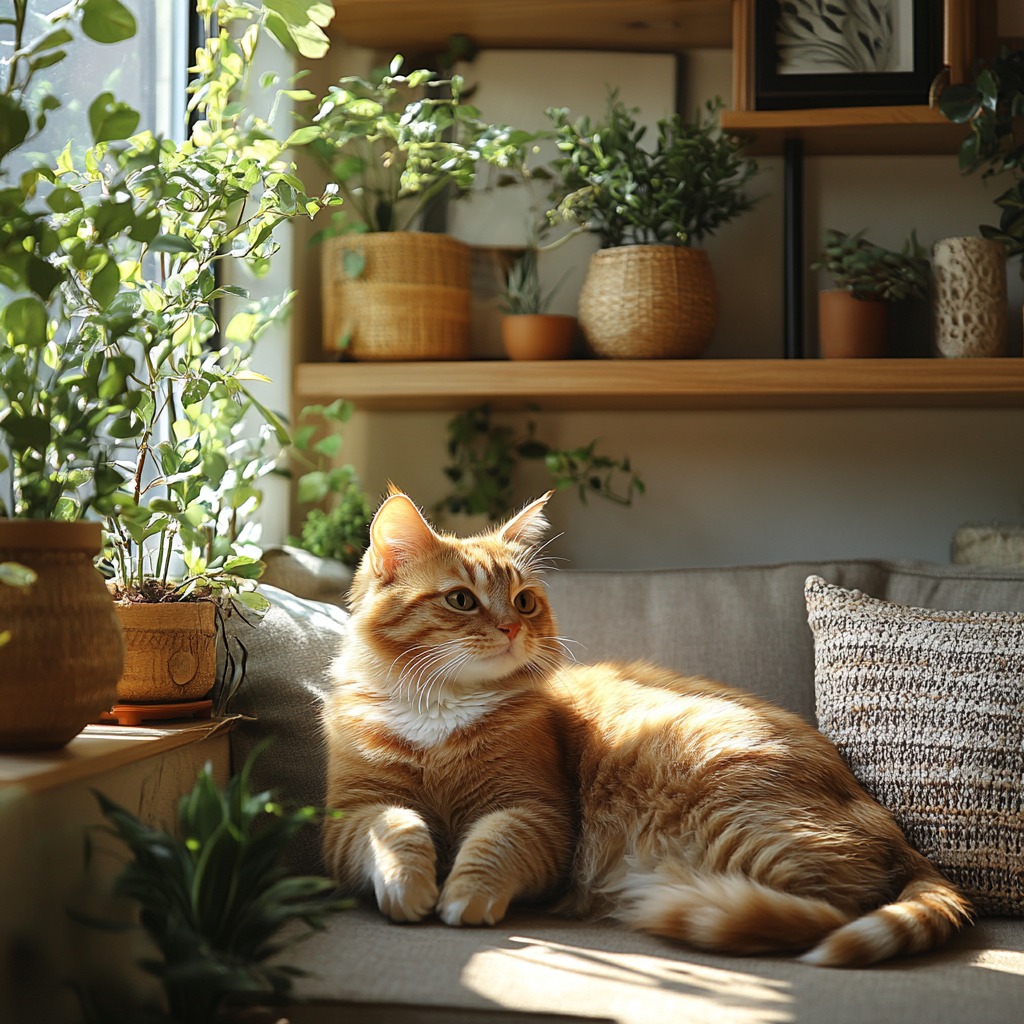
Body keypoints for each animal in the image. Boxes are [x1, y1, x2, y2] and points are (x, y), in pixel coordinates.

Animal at [323, 491, 970, 962]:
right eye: (461, 600)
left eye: (525, 601)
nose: (513, 628)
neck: (440, 713)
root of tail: (895, 834)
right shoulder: (351, 816)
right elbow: (398, 829)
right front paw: (410, 885)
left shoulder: (536, 814)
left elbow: (490, 846)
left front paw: (463, 895)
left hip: (733, 825)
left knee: (826, 915)